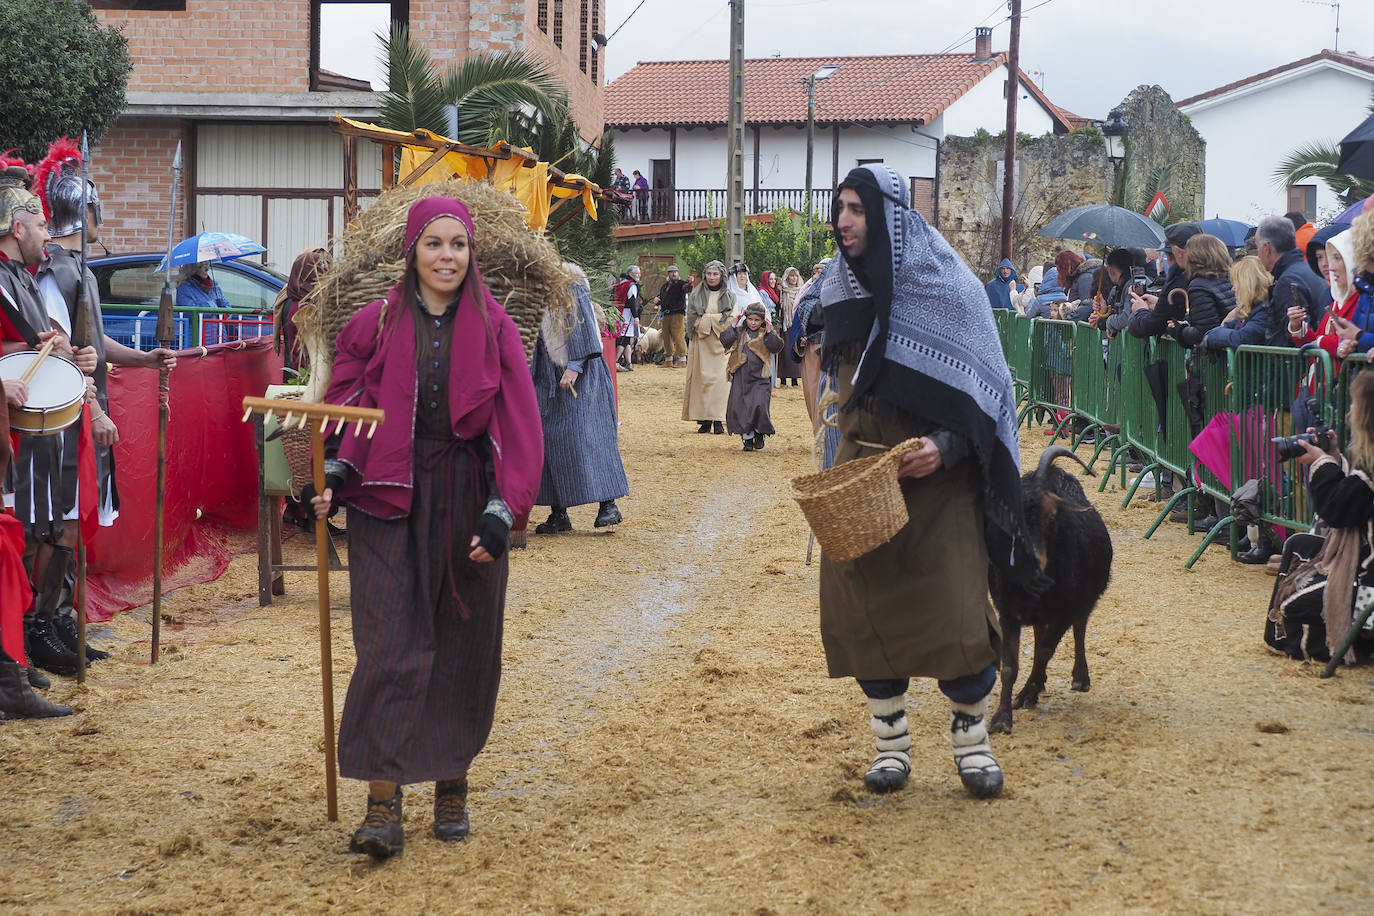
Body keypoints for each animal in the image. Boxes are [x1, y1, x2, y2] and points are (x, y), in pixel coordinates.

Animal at [983, 444, 1110, 736]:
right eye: (1008, 519)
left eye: (1052, 517)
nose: (1033, 562)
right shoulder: (1008, 613)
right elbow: (1010, 665)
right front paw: (1002, 718)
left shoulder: (1065, 610)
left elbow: (1045, 652)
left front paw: (1026, 694)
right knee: (1042, 634)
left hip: (1084, 598)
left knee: (1079, 627)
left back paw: (1079, 678)